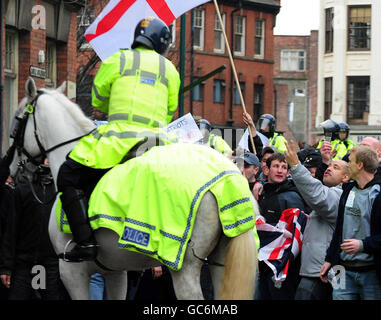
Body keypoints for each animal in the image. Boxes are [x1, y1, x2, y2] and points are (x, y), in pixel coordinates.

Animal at [9, 78, 258, 300]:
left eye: (16, 121)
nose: (13, 170)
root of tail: (226, 179)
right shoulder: (115, 272)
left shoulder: (71, 271)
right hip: (221, 263)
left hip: (183, 269)